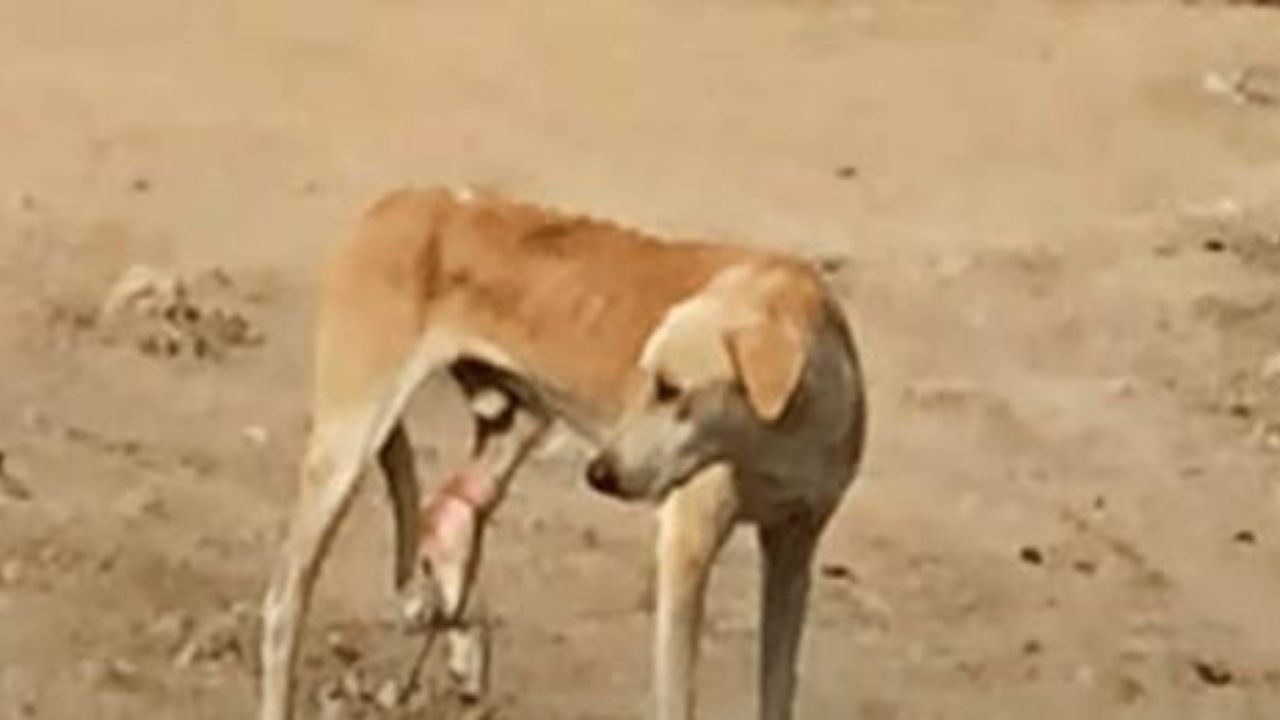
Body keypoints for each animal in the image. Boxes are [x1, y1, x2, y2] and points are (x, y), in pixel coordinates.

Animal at [257, 185, 870, 717]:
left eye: (671, 389)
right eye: (650, 379)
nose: (600, 475)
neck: (784, 432)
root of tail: (397, 201)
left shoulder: (794, 547)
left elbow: (779, 684)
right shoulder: (686, 548)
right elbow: (678, 697)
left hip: (512, 426)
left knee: (448, 512)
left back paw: (461, 641)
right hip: (345, 451)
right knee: (284, 603)